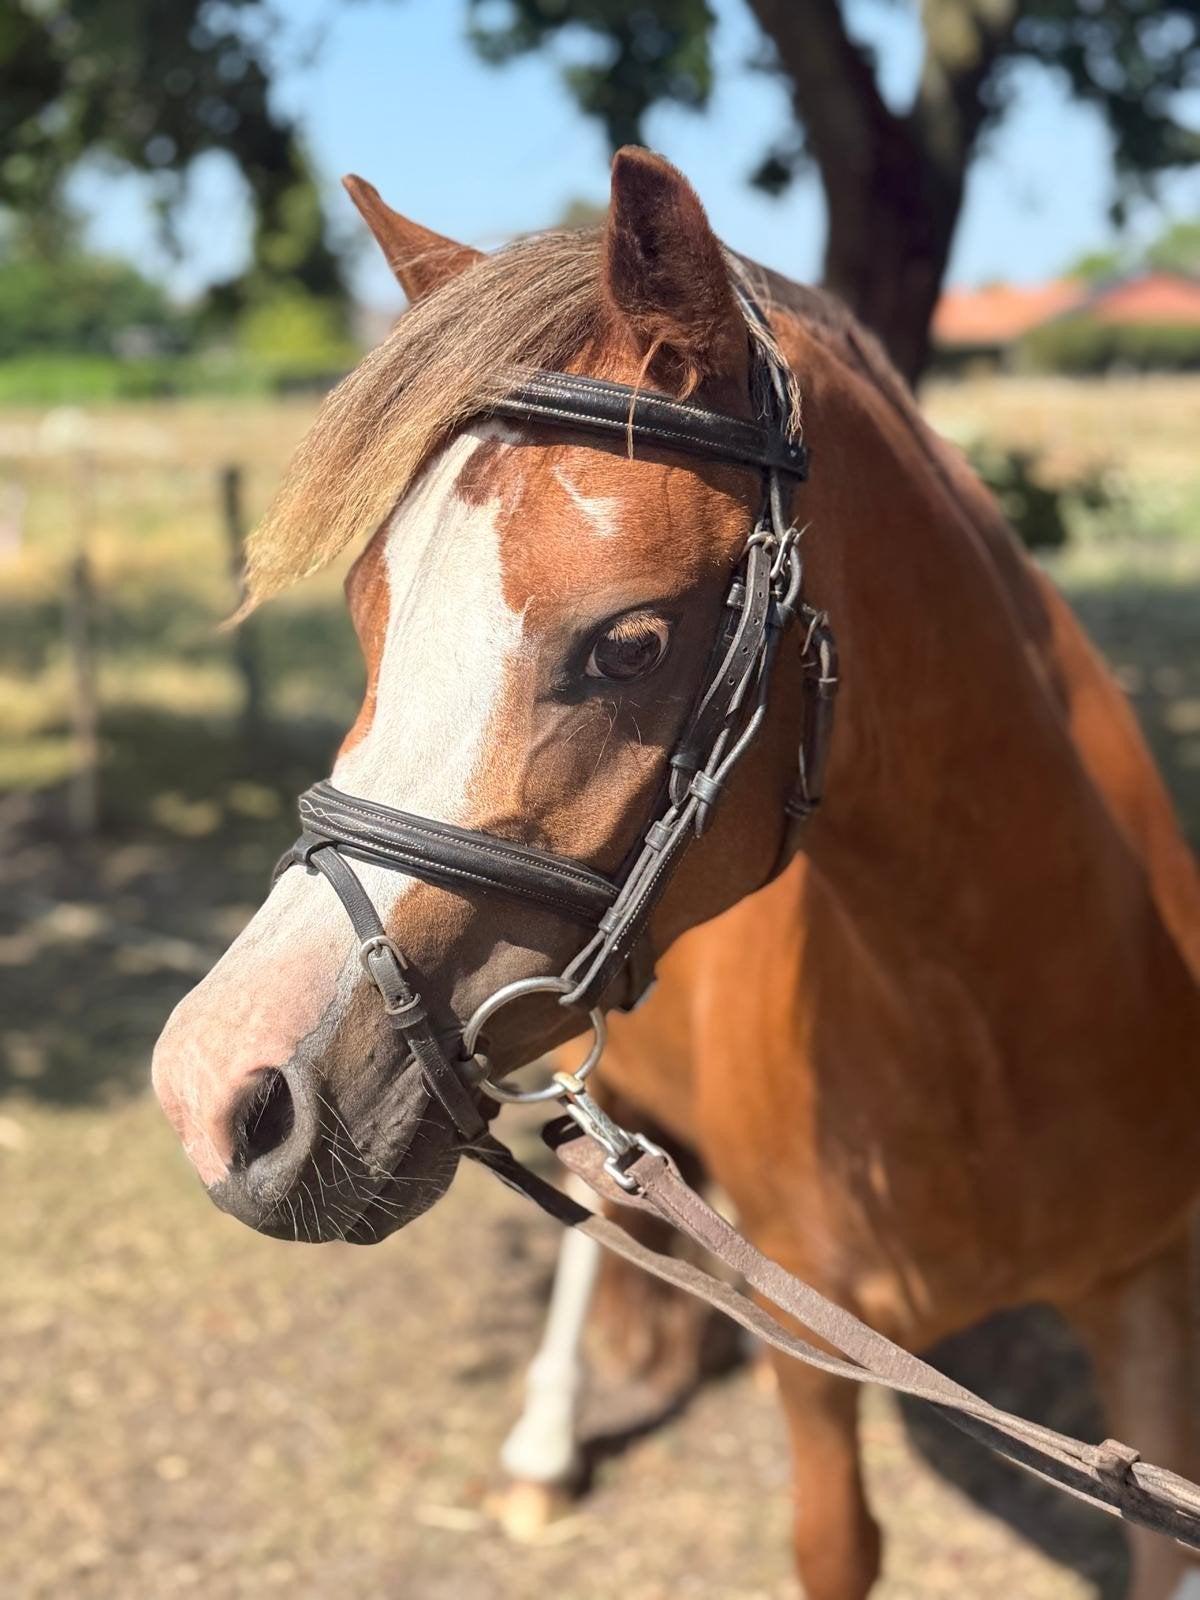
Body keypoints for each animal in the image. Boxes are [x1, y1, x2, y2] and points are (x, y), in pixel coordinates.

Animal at [152, 148, 1200, 1599]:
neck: (991, 1020)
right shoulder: (808, 1341)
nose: (213, 1094)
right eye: (370, 608)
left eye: (631, 643)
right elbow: (833, 1542)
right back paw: (543, 1448)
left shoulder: (1149, 1308)